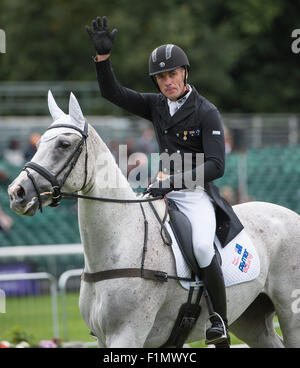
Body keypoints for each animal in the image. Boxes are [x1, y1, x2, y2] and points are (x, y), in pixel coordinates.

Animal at [8, 92, 300, 348]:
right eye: (37, 144)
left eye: (64, 145)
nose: (17, 193)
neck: (121, 238)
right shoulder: (105, 338)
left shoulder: (127, 334)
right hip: (250, 319)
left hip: (290, 313)